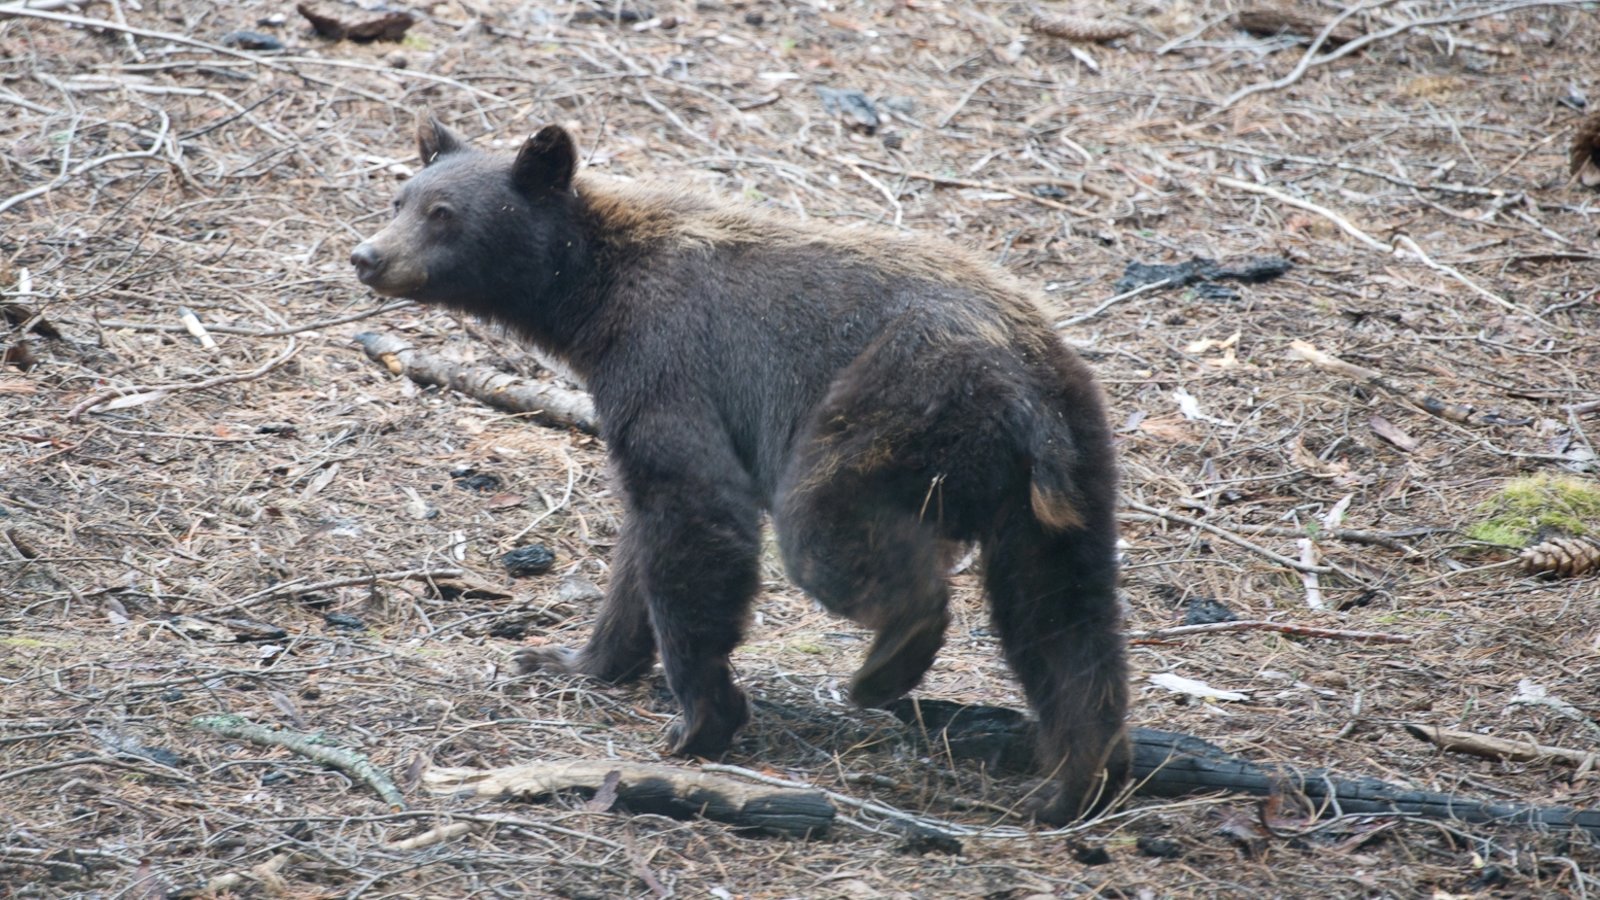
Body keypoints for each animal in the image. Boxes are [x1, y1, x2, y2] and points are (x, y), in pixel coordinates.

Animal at [353, 115, 1126, 816]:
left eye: (444, 214)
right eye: (400, 198)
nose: (367, 256)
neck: (595, 296)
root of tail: (1023, 390)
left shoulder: (668, 361)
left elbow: (692, 508)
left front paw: (700, 719)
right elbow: (636, 545)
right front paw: (571, 658)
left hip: (889, 408)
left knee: (827, 531)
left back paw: (887, 668)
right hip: (1066, 471)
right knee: (1061, 618)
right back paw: (1072, 781)